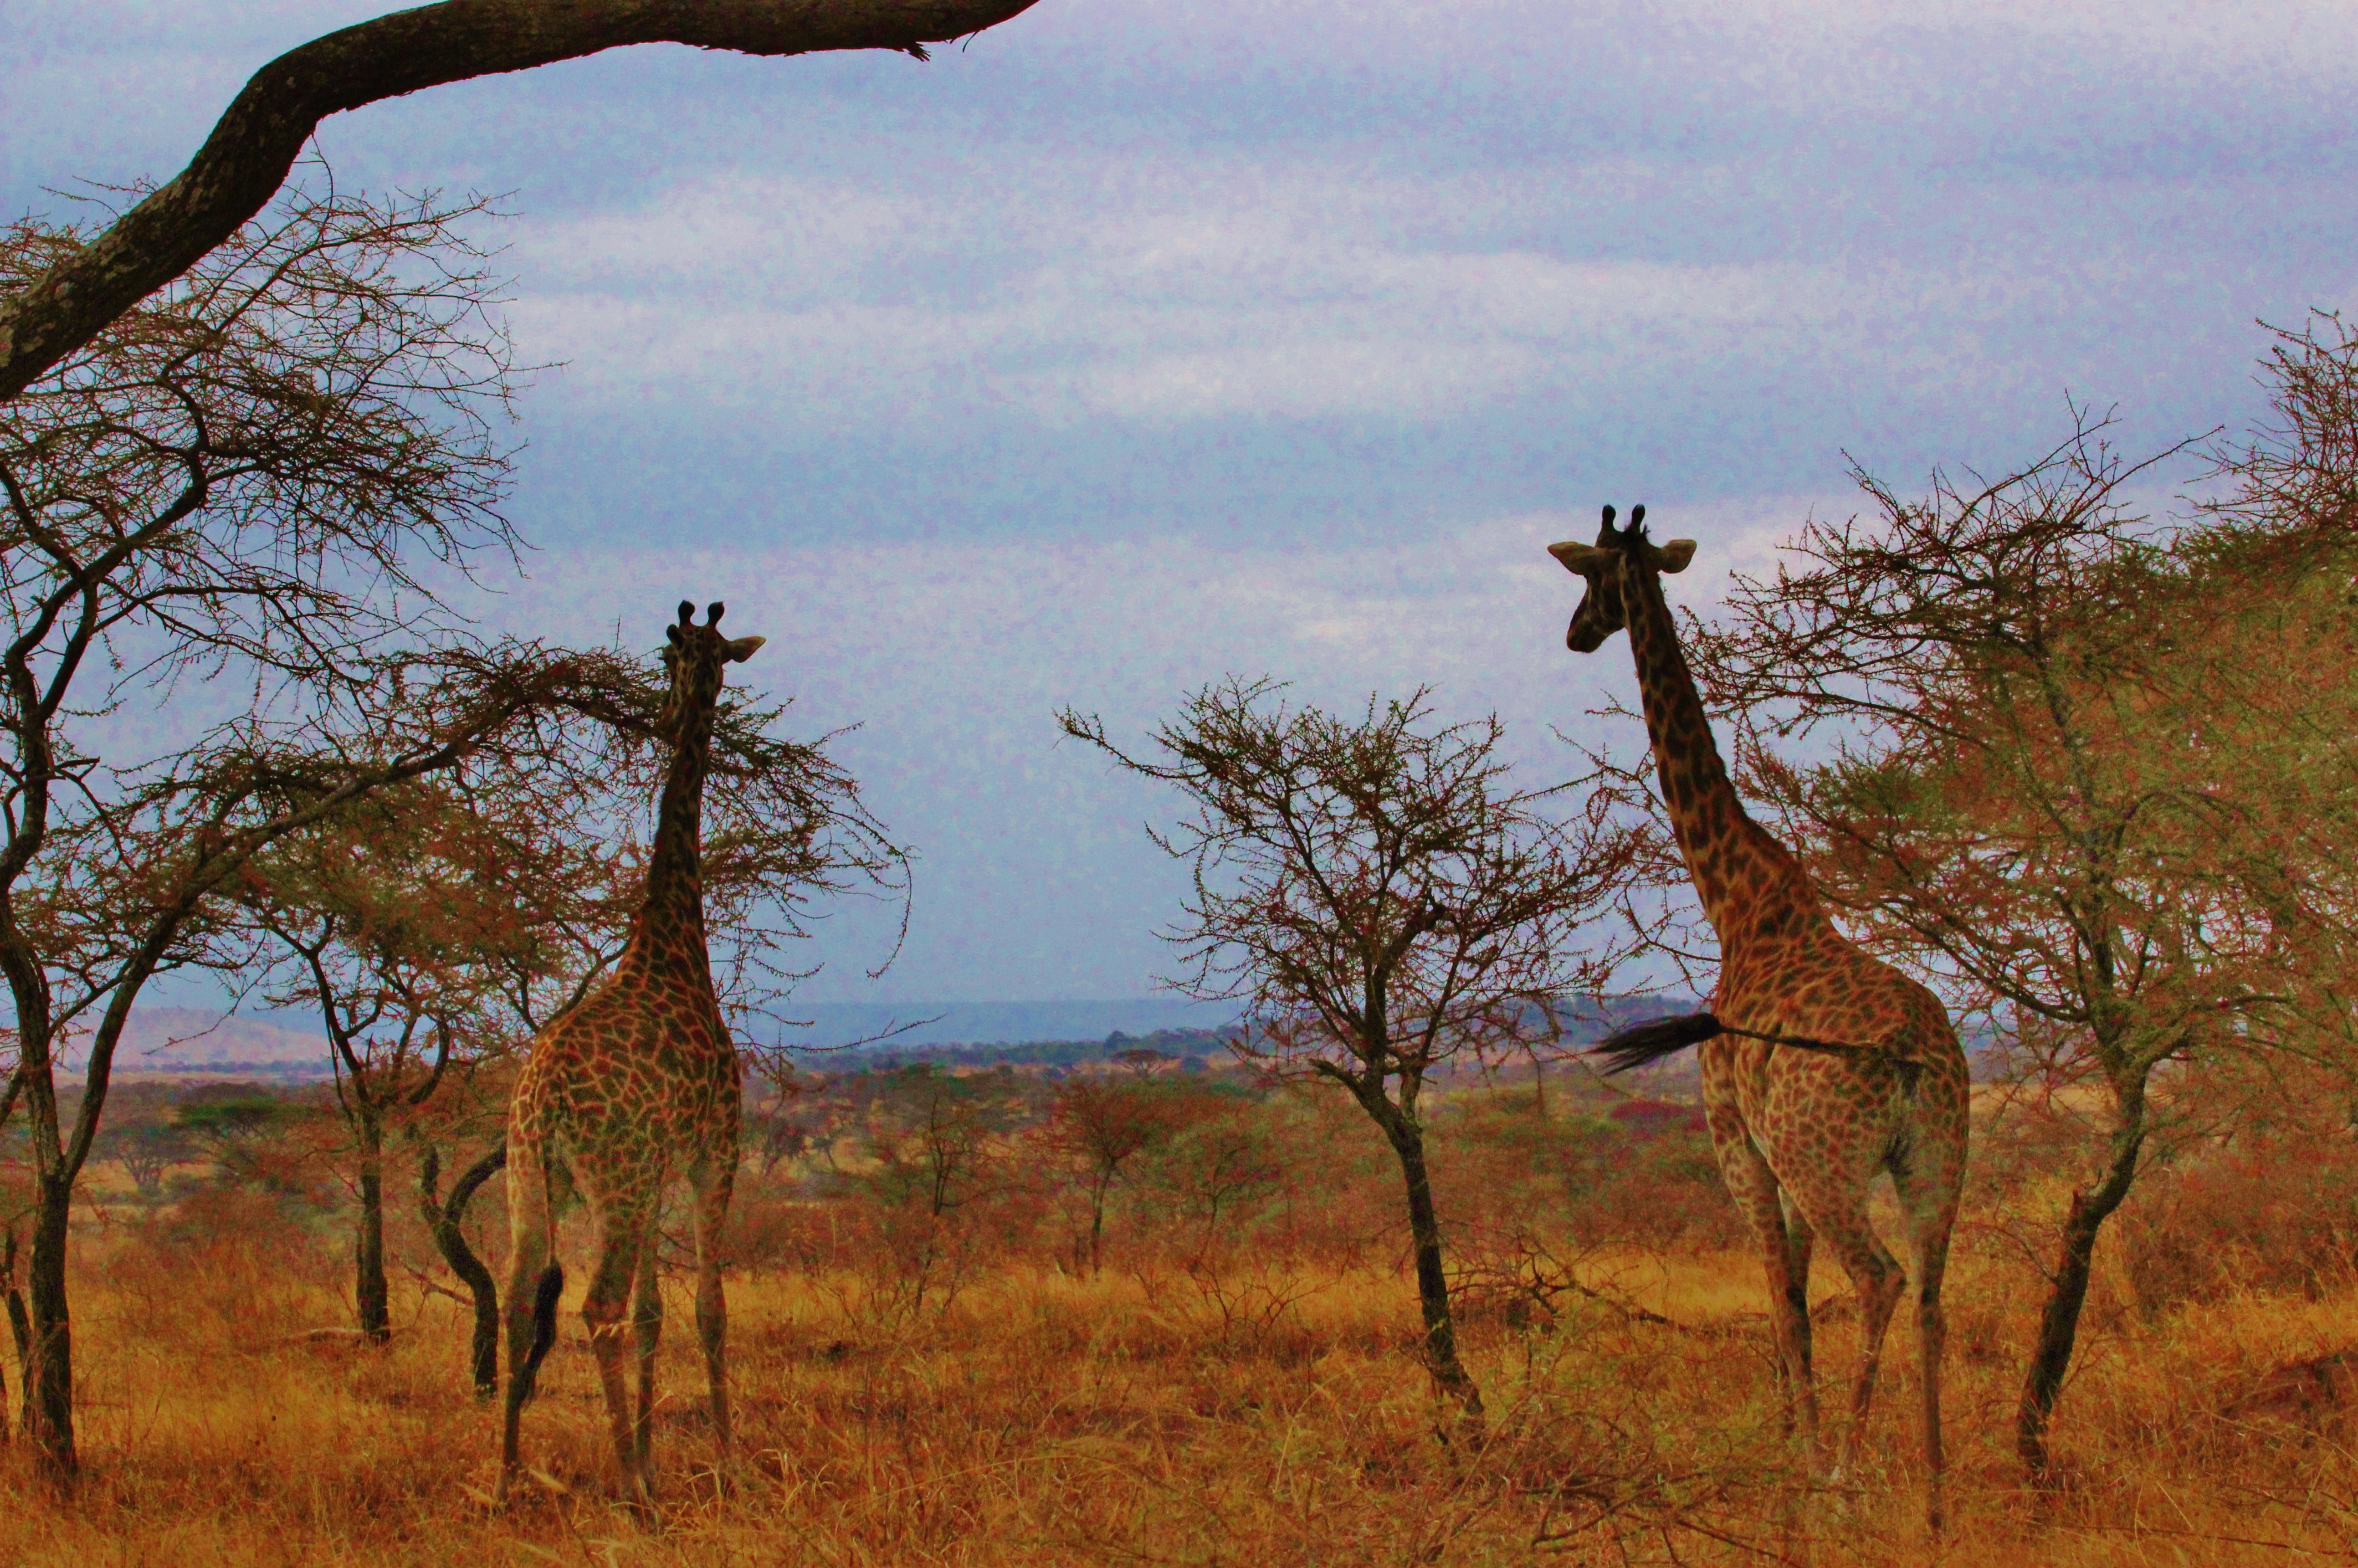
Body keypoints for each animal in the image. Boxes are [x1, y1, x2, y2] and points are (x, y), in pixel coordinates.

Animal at [500, 599, 764, 1509]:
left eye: (671, 658)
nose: (666, 709)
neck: (674, 945)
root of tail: (543, 1096)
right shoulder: (713, 1146)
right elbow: (709, 1307)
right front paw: (722, 1459)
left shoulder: (654, 1172)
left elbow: (654, 1313)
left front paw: (653, 1452)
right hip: (610, 1180)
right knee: (593, 1308)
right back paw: (630, 1491)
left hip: (529, 1178)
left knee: (517, 1300)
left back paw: (507, 1478)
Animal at [1547, 504, 1971, 1528]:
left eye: (1589, 577)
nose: (1575, 633)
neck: (1736, 899)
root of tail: (1911, 1055)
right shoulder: (1776, 1152)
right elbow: (1793, 1295)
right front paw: (1787, 1444)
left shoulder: (1734, 1134)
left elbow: (1781, 1294)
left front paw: (1797, 1460)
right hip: (1934, 1158)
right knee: (1933, 1292)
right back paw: (1937, 1493)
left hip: (1826, 1160)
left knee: (1880, 1279)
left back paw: (1846, 1475)